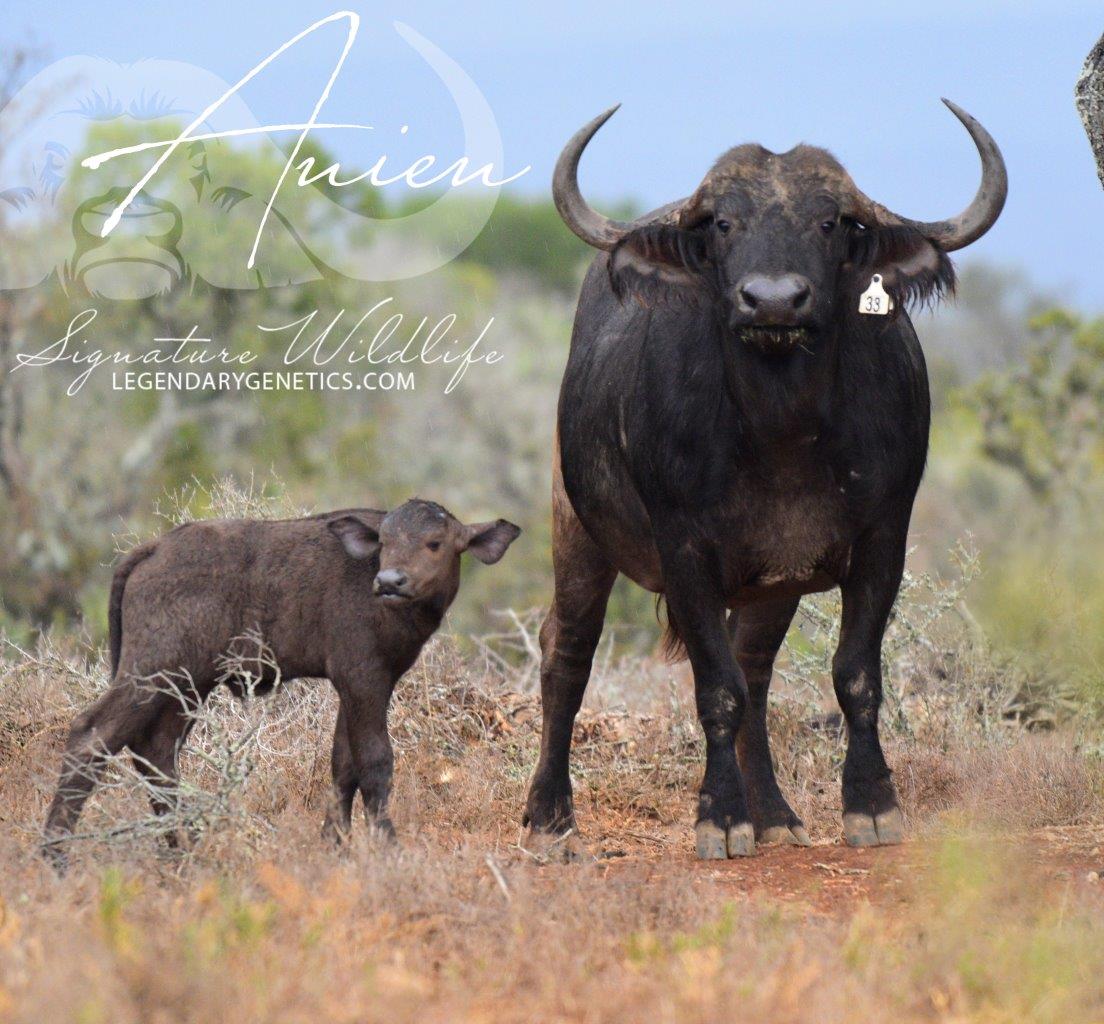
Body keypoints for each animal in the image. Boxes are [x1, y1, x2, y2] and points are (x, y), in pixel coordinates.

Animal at [42, 499, 520, 869]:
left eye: (434, 543)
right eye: (384, 542)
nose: (389, 582)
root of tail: (153, 548)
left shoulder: (355, 685)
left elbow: (343, 763)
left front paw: (334, 844)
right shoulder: (365, 678)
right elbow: (375, 761)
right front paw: (387, 847)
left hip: (188, 685)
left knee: (156, 751)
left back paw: (185, 846)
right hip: (153, 671)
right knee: (92, 734)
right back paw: (56, 855)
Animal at [522, 100, 1006, 860]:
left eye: (830, 221)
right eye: (724, 223)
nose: (773, 301)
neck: (782, 429)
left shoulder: (883, 539)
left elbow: (854, 674)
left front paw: (870, 805)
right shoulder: (683, 549)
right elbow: (714, 688)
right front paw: (719, 819)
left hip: (770, 587)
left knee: (754, 666)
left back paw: (775, 812)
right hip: (575, 527)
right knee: (566, 652)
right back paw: (551, 819)